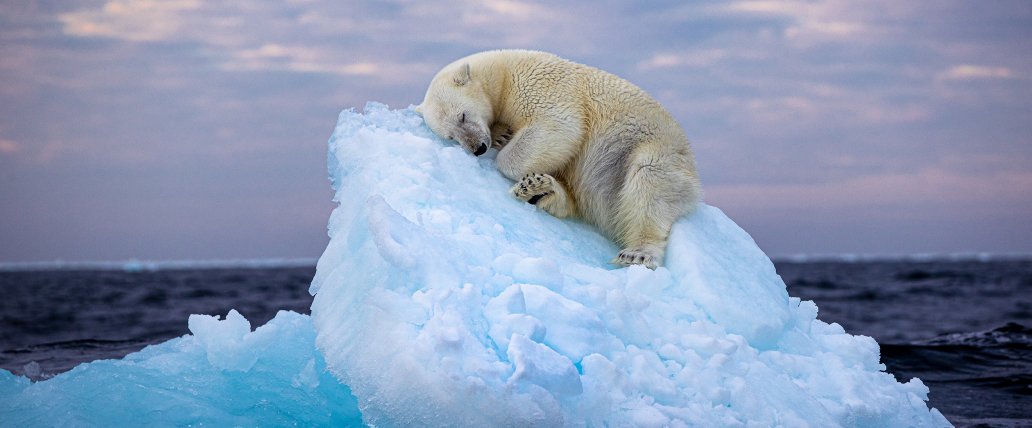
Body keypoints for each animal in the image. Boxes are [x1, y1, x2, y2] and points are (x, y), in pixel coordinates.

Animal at [416, 50, 701, 268]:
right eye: (451, 136)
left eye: (462, 116)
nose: (478, 148)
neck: (503, 72)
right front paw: (502, 135)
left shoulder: (540, 86)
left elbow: (560, 125)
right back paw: (539, 190)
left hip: (654, 151)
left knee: (649, 184)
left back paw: (637, 252)